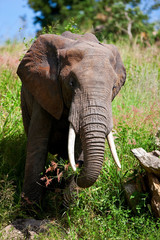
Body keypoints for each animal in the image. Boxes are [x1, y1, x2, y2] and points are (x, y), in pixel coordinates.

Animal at [16, 30, 126, 206]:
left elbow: (78, 144)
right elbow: (37, 143)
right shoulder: (45, 89)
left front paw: (69, 206)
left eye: (114, 87)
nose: (79, 164)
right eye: (71, 83)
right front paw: (30, 207)